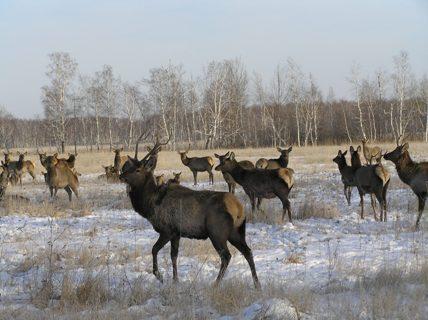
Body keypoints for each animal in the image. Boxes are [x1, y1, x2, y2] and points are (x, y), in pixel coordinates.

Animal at [118, 132, 260, 288]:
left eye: (138, 170)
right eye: (129, 167)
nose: (121, 176)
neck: (150, 204)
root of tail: (239, 208)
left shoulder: (167, 229)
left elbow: (154, 249)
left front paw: (160, 276)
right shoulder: (177, 233)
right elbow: (173, 255)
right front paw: (175, 280)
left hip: (217, 231)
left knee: (226, 256)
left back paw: (216, 284)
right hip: (236, 231)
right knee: (248, 251)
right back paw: (257, 284)